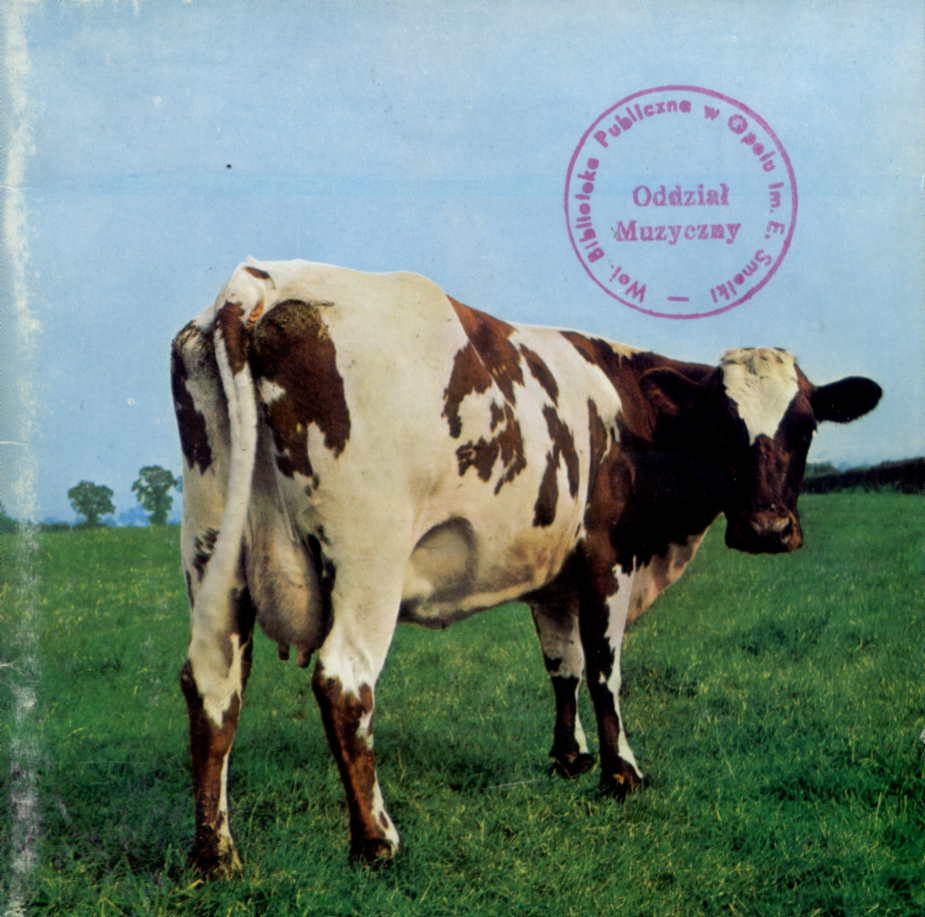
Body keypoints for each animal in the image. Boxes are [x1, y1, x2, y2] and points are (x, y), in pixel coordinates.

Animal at [171, 259, 881, 873]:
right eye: (723, 425)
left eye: (806, 426)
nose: (768, 530)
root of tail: (264, 282)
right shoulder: (608, 559)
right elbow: (606, 671)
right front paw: (621, 773)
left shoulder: (553, 577)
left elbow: (563, 666)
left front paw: (569, 758)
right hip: (368, 561)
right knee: (344, 683)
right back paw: (376, 841)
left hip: (211, 550)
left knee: (212, 683)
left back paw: (216, 853)